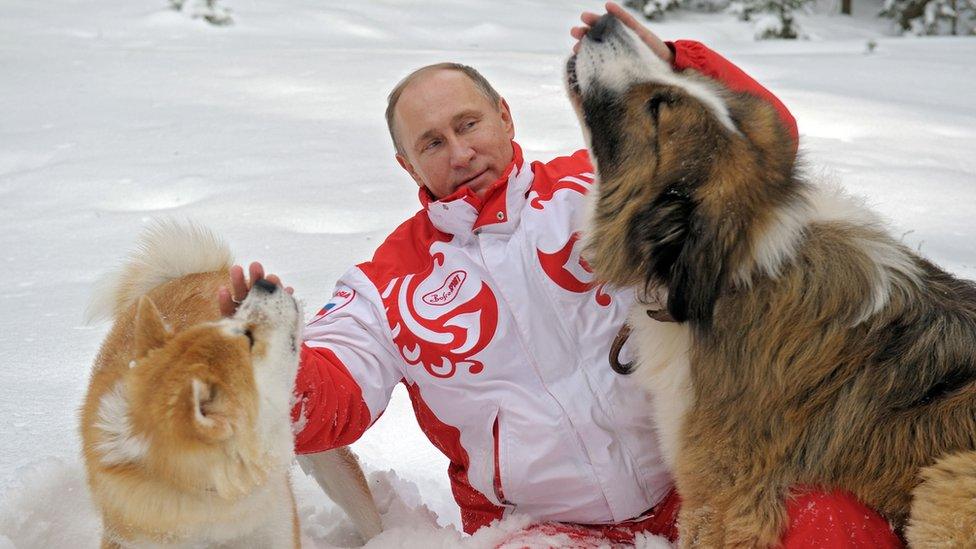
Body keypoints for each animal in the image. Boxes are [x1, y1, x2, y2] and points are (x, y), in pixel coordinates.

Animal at [568, 13, 972, 548]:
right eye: (685, 78)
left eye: (659, 107)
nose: (606, 21)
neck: (735, 273)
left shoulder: (722, 495)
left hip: (948, 484)